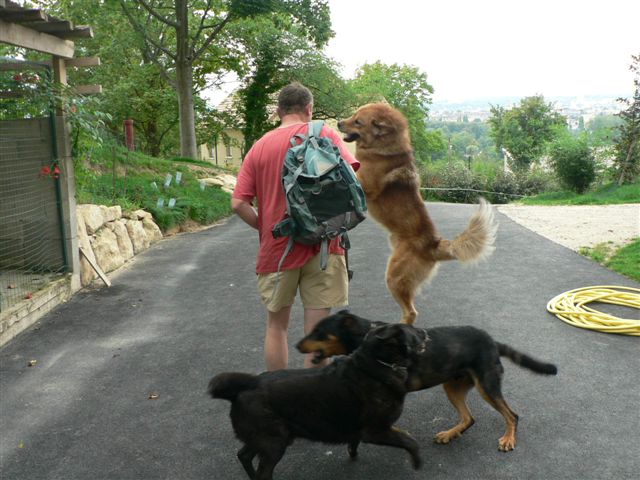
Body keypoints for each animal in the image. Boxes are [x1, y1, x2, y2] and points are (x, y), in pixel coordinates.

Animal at [210, 322, 428, 480]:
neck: (376, 364)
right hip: (273, 442)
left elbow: (358, 440)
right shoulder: (375, 431)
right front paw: (417, 462)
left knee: (243, 455)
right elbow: (410, 441)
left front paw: (352, 450)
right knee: (263, 471)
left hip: (262, 437)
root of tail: (247, 384)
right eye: (413, 331)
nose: (425, 331)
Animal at [298, 310, 556, 452]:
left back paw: (508, 440)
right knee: (469, 418)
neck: (366, 337)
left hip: (487, 385)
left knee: (512, 415)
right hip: (452, 385)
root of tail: (492, 341)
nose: (297, 345)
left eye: (318, 331)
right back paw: (449, 434)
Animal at [338, 102, 498, 324]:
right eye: (354, 115)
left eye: (358, 121)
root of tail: (434, 245)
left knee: (411, 312)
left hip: (394, 276)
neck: (382, 149)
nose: (338, 123)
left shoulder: (363, 183)